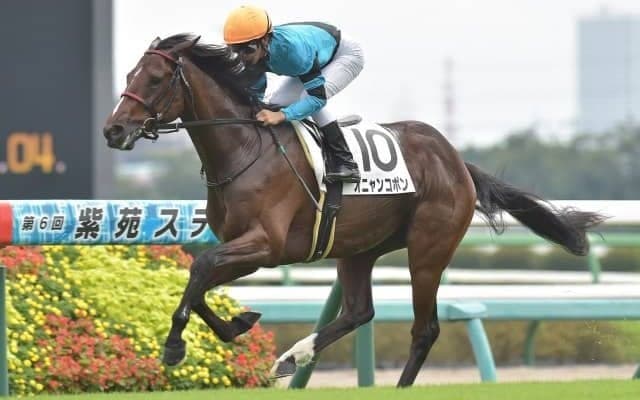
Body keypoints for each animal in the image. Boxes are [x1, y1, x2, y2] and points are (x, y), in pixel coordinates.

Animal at [103, 34, 605, 387]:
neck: (245, 149)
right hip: (357, 248)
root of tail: (456, 160)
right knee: (359, 311)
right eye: (128, 75)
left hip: (428, 249)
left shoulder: (266, 245)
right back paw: (293, 357)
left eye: (153, 79)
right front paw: (238, 323)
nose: (113, 130)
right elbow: (200, 281)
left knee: (425, 329)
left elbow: (201, 270)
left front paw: (173, 347)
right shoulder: (241, 246)